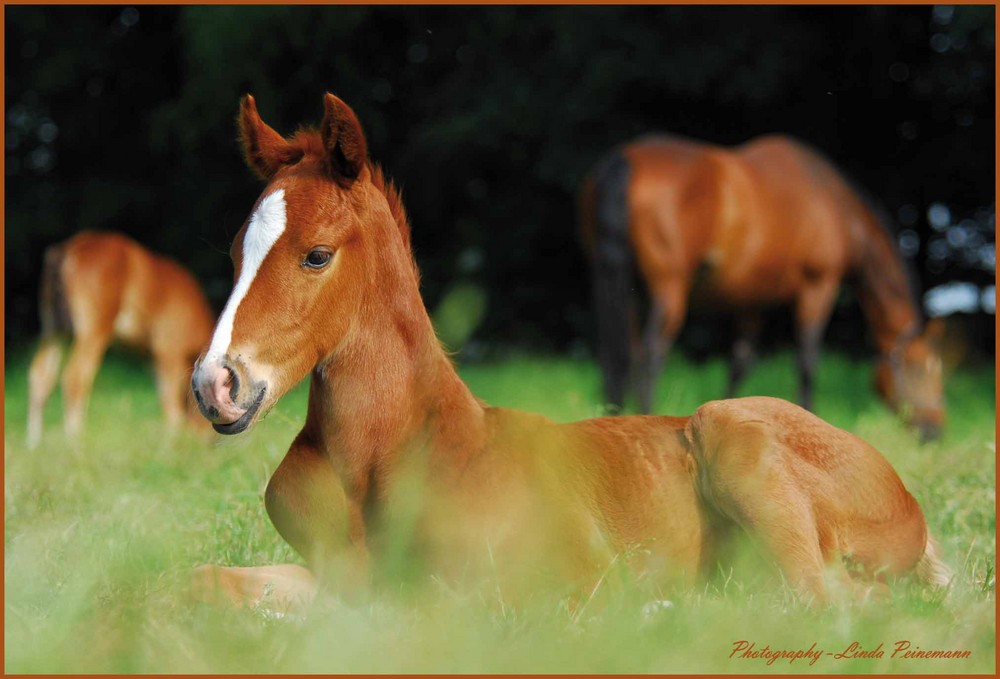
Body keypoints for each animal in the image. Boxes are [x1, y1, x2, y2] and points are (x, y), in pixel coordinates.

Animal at [26, 231, 215, 448]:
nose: (208, 442)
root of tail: (65, 251)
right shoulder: (169, 348)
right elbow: (172, 407)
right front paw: (169, 446)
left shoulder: (152, 356)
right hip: (93, 329)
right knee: (74, 377)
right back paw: (75, 443)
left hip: (51, 327)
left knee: (40, 376)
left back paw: (33, 445)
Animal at [580, 137, 944, 440]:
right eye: (918, 369)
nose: (934, 432)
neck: (830, 200)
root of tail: (624, 162)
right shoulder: (817, 287)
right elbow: (807, 361)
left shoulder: (751, 303)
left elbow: (740, 364)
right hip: (668, 290)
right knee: (650, 355)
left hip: (618, 289)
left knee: (619, 354)